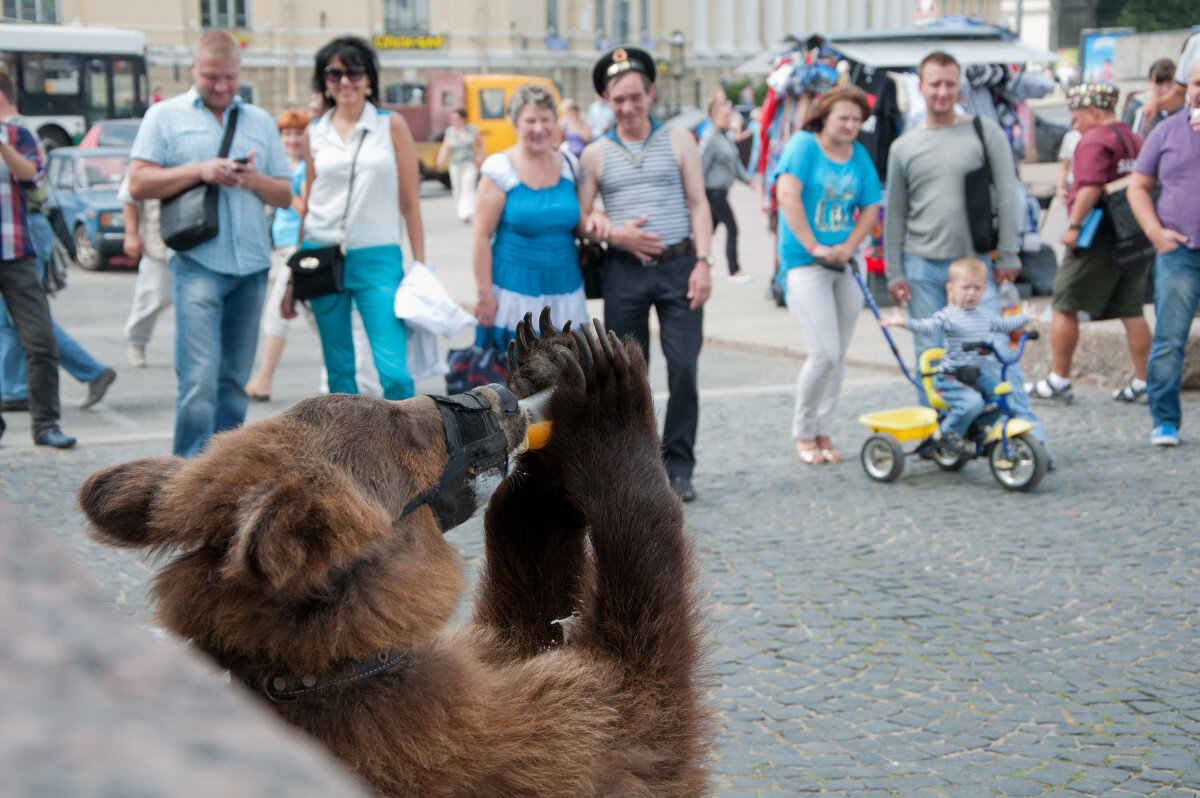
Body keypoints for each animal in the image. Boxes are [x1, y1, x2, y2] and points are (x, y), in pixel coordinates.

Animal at [79, 312, 710, 796]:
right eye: (403, 421)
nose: (505, 400)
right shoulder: (459, 747)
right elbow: (641, 704)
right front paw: (605, 395)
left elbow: (524, 621)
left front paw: (548, 359)